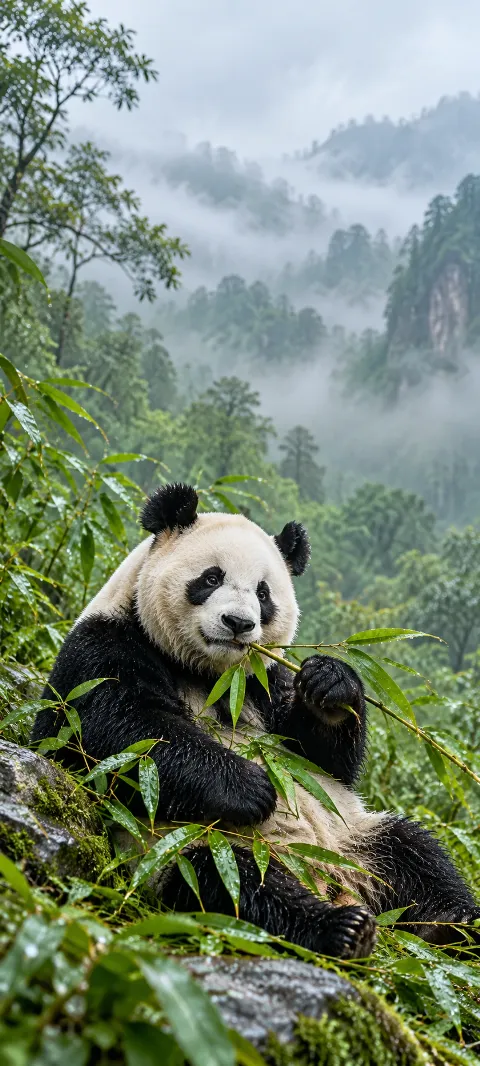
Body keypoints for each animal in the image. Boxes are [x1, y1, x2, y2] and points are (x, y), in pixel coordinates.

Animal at [32, 482, 480, 959]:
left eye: (263, 594)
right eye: (211, 578)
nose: (238, 623)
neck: (209, 674)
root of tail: (331, 880)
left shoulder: (265, 680)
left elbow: (325, 758)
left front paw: (331, 682)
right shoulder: (104, 643)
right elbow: (111, 731)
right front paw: (251, 786)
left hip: (355, 837)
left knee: (415, 853)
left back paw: (453, 926)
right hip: (185, 847)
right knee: (236, 887)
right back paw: (341, 929)